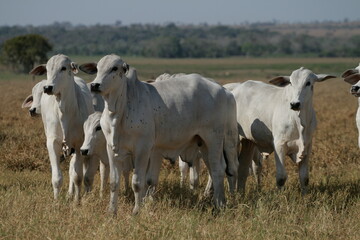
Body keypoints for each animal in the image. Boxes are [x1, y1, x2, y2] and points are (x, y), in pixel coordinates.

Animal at [30, 54, 97, 201]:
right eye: (47, 69)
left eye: (63, 68)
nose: (48, 87)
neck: (64, 110)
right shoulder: (52, 142)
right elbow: (57, 178)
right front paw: (56, 200)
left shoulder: (79, 144)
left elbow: (77, 176)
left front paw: (77, 200)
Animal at [81, 54, 239, 216]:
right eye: (97, 68)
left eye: (114, 68)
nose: (95, 85)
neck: (119, 110)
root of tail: (223, 90)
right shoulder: (112, 149)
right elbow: (114, 182)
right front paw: (111, 211)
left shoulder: (143, 149)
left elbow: (138, 183)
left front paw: (136, 211)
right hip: (203, 144)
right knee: (216, 169)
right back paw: (219, 201)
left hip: (216, 139)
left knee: (219, 169)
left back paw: (220, 204)